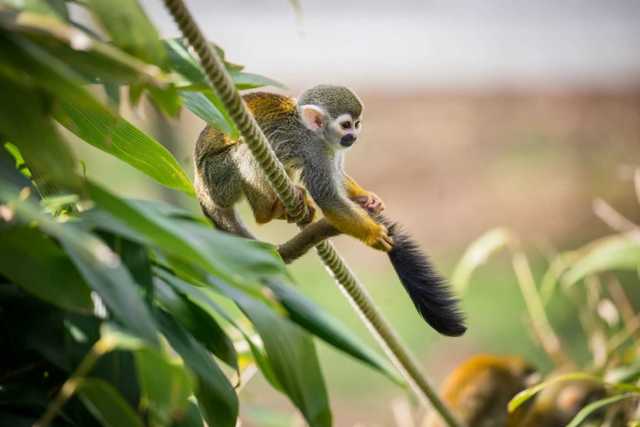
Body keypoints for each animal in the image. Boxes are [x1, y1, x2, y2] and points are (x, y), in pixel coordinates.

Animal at [194, 84, 464, 338]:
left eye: (357, 123)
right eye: (345, 125)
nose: (354, 135)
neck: (315, 133)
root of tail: (200, 188)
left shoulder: (330, 149)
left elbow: (338, 180)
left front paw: (365, 197)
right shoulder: (314, 151)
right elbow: (328, 198)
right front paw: (374, 235)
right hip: (218, 178)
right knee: (245, 153)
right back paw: (266, 212)